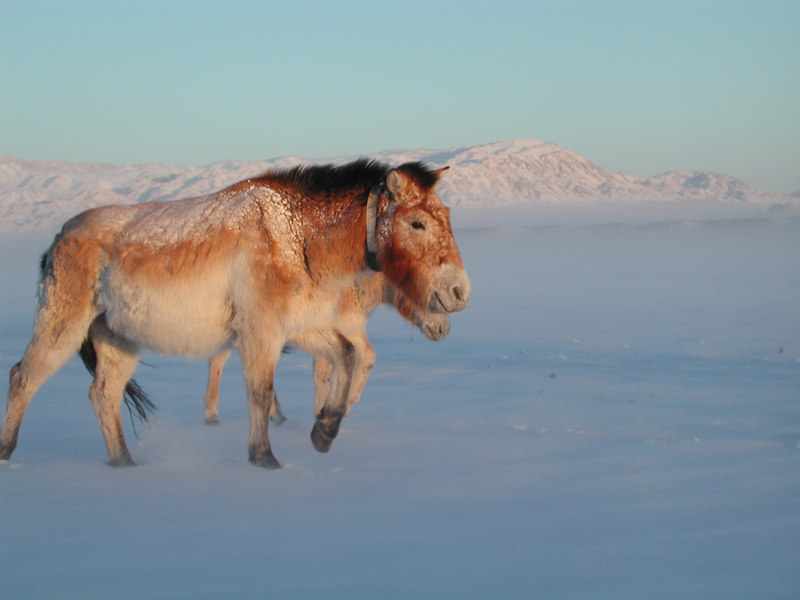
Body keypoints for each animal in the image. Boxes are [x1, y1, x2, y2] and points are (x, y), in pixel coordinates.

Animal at [202, 270, 451, 425]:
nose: (443, 330)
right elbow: (322, 373)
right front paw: (322, 414)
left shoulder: (351, 327)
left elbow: (367, 357)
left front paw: (345, 406)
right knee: (218, 362)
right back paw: (212, 416)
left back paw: (277, 416)